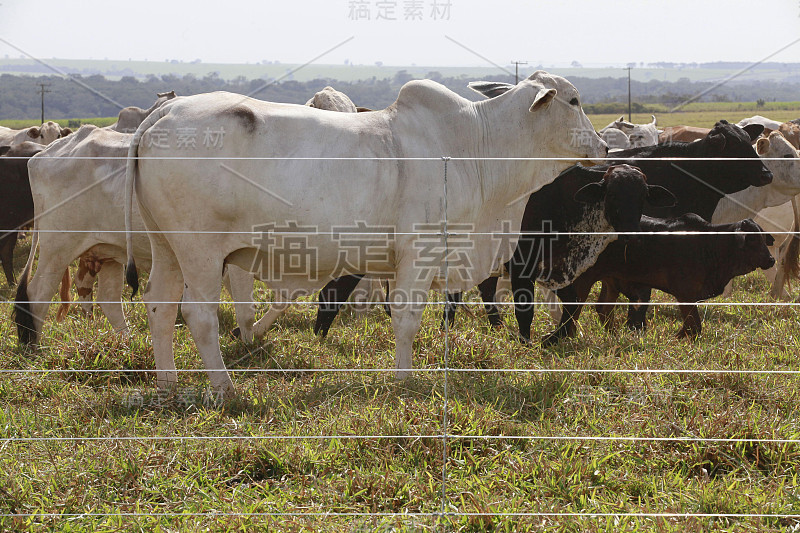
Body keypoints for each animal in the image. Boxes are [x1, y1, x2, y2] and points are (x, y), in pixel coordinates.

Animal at [14, 127, 256, 348]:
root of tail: (42, 155)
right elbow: (248, 311)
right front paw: (249, 340)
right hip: (57, 249)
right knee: (37, 295)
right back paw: (34, 350)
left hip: (107, 252)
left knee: (108, 299)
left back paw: (127, 343)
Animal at [126, 71, 608, 394]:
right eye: (573, 100)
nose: (604, 147)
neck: (475, 146)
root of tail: (163, 112)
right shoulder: (420, 253)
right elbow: (406, 319)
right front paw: (404, 381)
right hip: (200, 251)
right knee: (198, 315)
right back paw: (226, 389)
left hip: (166, 247)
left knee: (160, 308)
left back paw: (168, 384)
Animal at [544, 215, 776, 340]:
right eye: (752, 241)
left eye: (764, 239)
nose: (771, 259)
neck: (710, 245)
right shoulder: (685, 293)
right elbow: (694, 326)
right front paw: (677, 338)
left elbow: (693, 326)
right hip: (583, 280)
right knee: (574, 310)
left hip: (611, 281)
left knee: (602, 308)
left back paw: (614, 334)